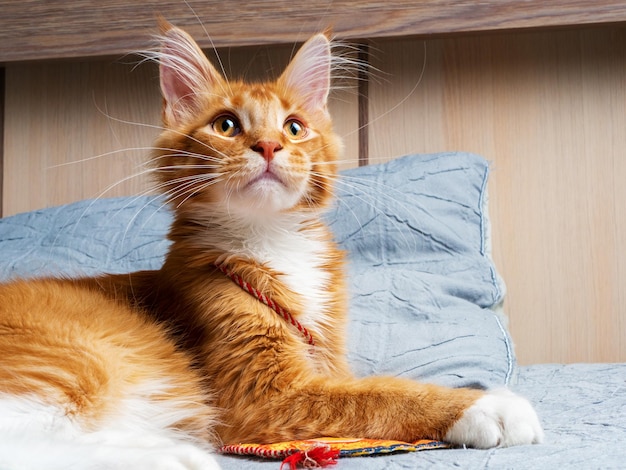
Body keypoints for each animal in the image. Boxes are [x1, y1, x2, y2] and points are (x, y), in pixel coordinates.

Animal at [0, 20, 540, 468]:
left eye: (294, 128)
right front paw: (485, 404)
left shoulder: (326, 359)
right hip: (80, 358)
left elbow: (366, 383)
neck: (271, 239)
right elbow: (378, 394)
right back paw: (175, 458)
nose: (268, 146)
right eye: (226, 125)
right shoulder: (262, 394)